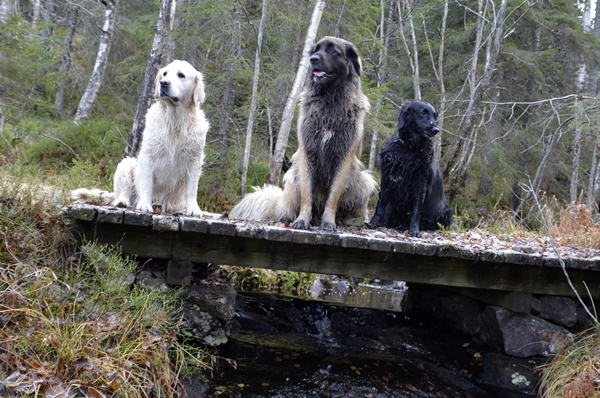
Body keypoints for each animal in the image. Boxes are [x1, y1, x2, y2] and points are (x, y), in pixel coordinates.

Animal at [71, 59, 209, 216]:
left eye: (181, 75)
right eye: (165, 74)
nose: (163, 83)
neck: (175, 121)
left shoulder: (194, 160)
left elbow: (192, 189)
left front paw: (193, 209)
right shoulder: (148, 155)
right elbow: (147, 184)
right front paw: (144, 204)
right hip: (127, 164)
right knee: (123, 194)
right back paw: (124, 202)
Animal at [232, 37, 378, 232]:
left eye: (333, 51)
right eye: (315, 50)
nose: (313, 59)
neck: (329, 102)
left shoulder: (343, 156)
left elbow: (333, 195)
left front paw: (328, 222)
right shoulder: (308, 152)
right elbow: (306, 194)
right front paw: (302, 220)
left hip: (363, 179)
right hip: (293, 177)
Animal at [368, 100, 452, 236]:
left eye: (435, 116)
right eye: (423, 112)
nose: (436, 130)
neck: (408, 147)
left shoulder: (420, 183)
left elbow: (416, 211)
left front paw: (414, 230)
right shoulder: (386, 179)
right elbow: (380, 205)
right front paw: (374, 223)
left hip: (445, 211)